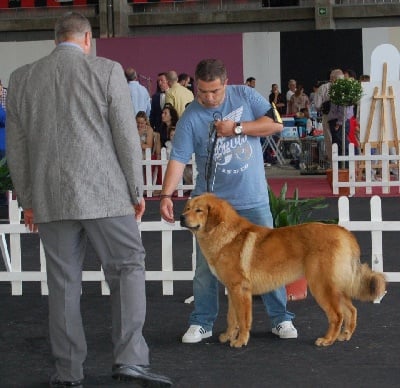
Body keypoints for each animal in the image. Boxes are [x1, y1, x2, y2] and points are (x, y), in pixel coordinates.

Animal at [180, 194, 386, 348]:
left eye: (199, 210)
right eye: (187, 208)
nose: (181, 217)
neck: (224, 234)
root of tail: (344, 232)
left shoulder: (240, 289)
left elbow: (243, 319)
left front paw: (240, 341)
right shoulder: (232, 290)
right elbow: (232, 318)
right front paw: (228, 336)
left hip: (321, 284)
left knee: (337, 315)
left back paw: (327, 340)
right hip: (334, 284)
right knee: (351, 310)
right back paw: (345, 335)